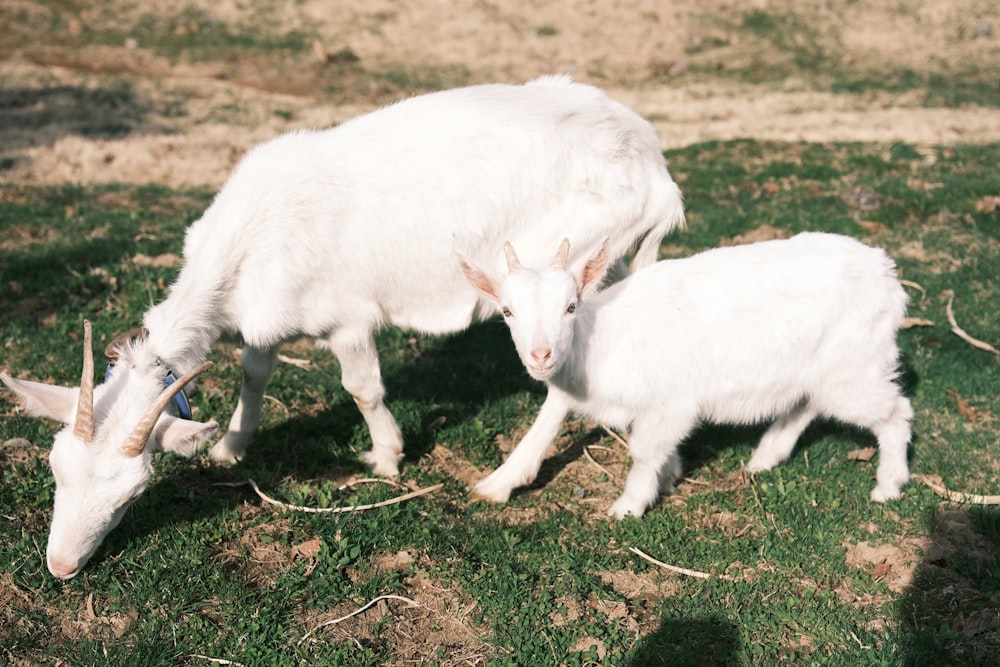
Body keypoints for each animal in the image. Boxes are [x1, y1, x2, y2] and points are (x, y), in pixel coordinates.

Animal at [0, 74, 684, 580]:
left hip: (573, 268)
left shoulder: (347, 318)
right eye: (56, 469)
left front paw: (386, 456)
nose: (61, 566)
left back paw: (504, 480)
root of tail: (657, 168)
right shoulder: (264, 321)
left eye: (132, 494)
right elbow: (254, 372)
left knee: (565, 376)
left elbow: (362, 388)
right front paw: (233, 446)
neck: (247, 242)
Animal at [460, 232, 916, 520]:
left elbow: (644, 451)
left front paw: (629, 505)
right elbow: (544, 426)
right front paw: (496, 485)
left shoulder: (671, 401)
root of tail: (888, 273)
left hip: (855, 365)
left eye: (571, 306)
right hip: (820, 366)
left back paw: (888, 485)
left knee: (896, 413)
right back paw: (765, 457)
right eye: (507, 311)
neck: (597, 338)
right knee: (805, 404)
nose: (541, 355)